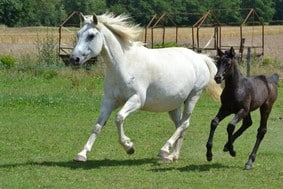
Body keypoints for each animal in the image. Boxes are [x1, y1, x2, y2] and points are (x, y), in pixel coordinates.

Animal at [70, 12, 222, 162]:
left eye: (91, 35)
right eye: (78, 34)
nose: (74, 59)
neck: (124, 65)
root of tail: (199, 57)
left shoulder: (136, 100)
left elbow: (119, 118)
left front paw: (129, 147)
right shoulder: (109, 100)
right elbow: (97, 126)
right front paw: (82, 154)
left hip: (193, 97)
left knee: (184, 124)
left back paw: (164, 150)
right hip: (174, 104)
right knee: (180, 125)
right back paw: (172, 156)